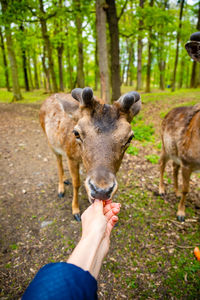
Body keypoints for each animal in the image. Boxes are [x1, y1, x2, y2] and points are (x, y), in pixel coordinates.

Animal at [39, 86, 141, 220]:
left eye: (130, 137)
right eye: (76, 133)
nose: (101, 191)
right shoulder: (71, 156)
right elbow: (76, 183)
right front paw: (75, 211)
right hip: (49, 141)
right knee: (58, 161)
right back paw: (61, 189)